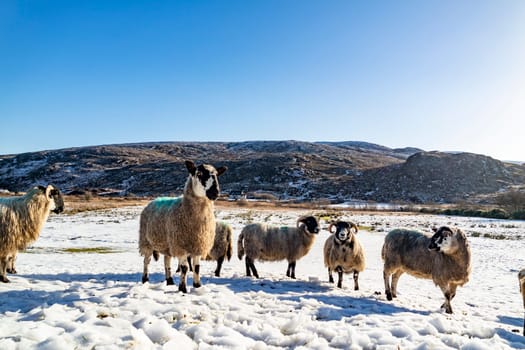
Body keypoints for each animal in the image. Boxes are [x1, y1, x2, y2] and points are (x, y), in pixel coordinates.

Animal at [138, 161, 226, 292]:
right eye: (199, 174)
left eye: (216, 175)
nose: (215, 192)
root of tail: (154, 200)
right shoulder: (180, 245)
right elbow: (184, 268)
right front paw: (182, 288)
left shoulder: (198, 244)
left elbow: (197, 267)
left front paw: (197, 286)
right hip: (146, 241)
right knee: (146, 261)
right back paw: (145, 280)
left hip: (167, 243)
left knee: (166, 261)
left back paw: (169, 281)